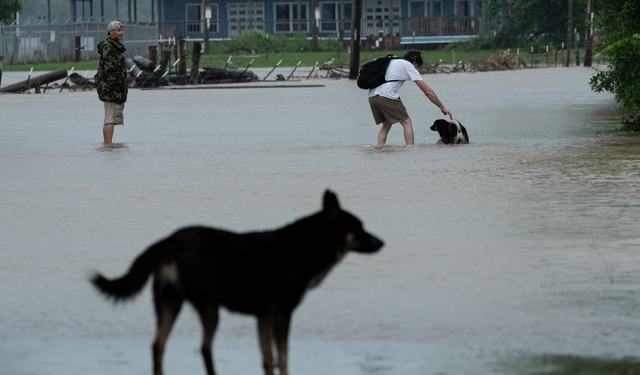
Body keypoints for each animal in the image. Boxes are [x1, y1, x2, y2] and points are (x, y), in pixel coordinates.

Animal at [89, 191, 380, 375]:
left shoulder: (264, 316)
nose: (382, 242)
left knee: (157, 346)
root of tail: (169, 241)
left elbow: (268, 358)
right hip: (209, 306)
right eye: (359, 227)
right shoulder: (282, 313)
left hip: (169, 302)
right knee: (204, 349)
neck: (307, 245)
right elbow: (283, 356)